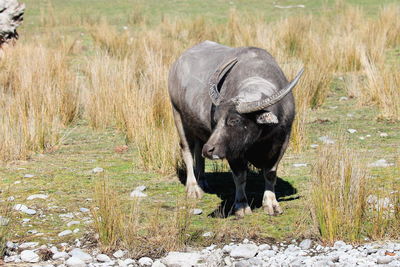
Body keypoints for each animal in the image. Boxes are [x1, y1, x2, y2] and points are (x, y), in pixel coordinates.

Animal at [168, 41, 304, 218]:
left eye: (235, 120)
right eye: (216, 120)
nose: (209, 150)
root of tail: (177, 63)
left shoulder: (281, 142)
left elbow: (270, 173)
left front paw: (271, 204)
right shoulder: (232, 152)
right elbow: (240, 177)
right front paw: (241, 206)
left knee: (198, 150)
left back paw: (202, 180)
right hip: (177, 114)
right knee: (187, 150)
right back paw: (193, 188)